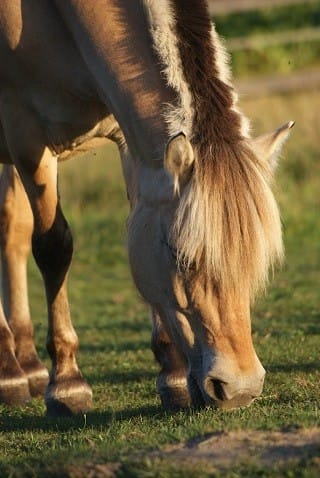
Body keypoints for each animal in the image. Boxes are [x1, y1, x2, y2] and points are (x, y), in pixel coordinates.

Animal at [0, 0, 292, 414]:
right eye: (181, 257)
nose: (240, 389)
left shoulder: (128, 138)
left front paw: (172, 376)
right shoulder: (27, 137)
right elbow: (54, 249)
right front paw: (67, 384)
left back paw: (26, 363)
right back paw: (10, 371)